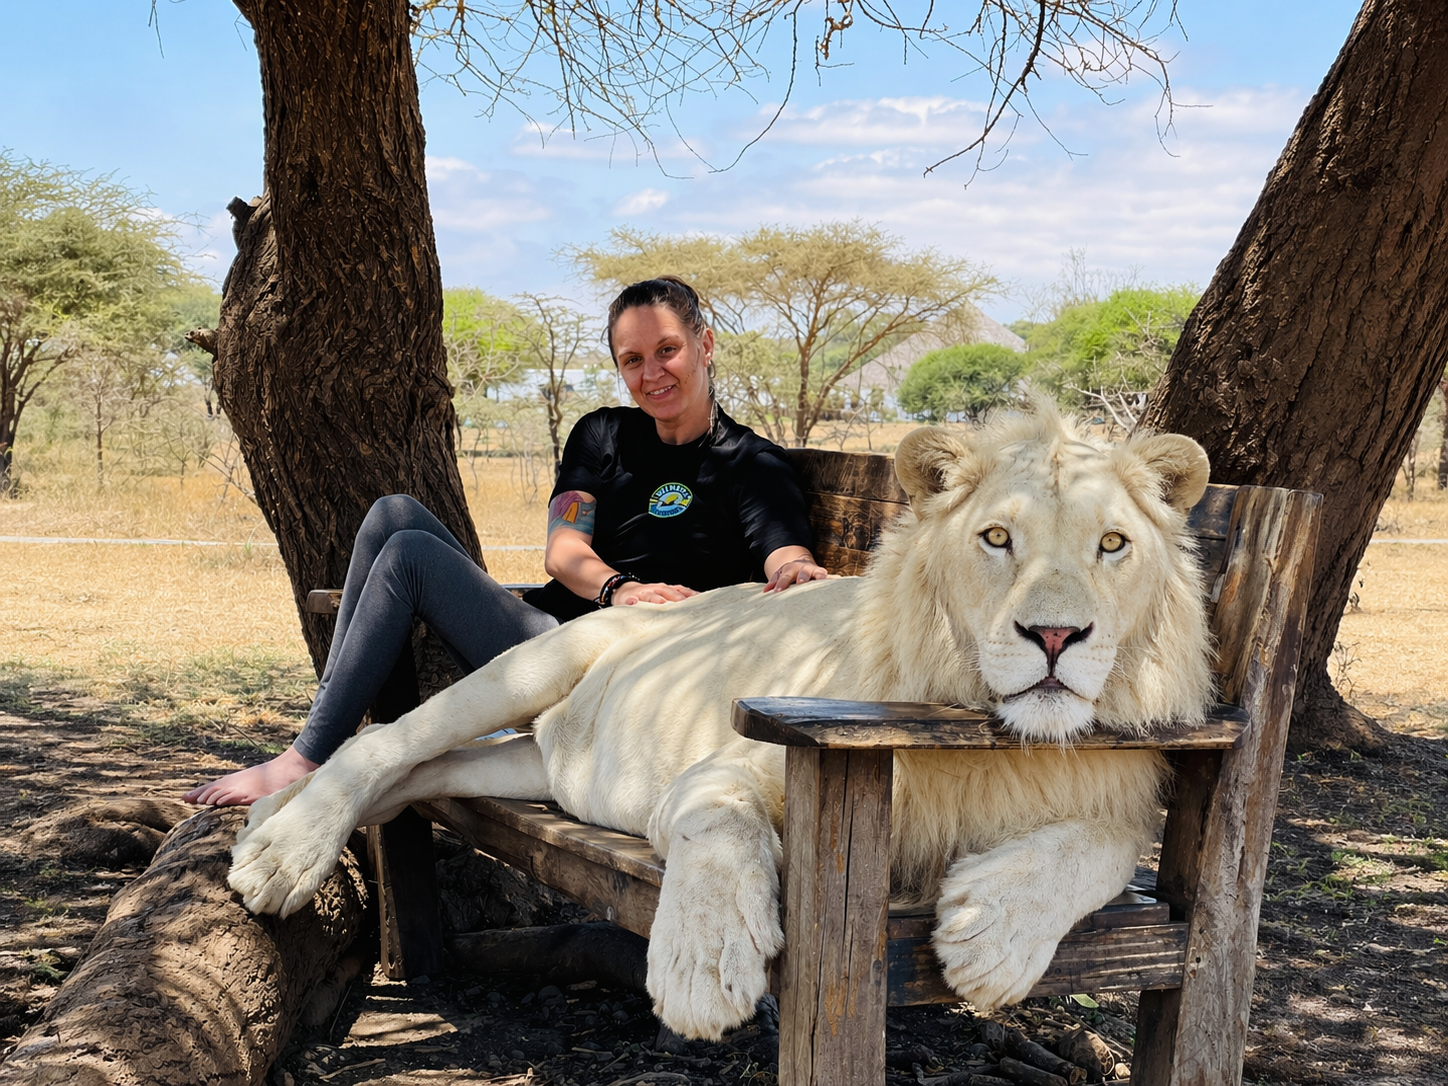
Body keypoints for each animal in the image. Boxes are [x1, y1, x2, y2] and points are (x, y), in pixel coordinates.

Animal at [229, 404, 1214, 1041]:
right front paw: (703, 970)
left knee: (414, 765)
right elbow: (720, 826)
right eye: (997, 539)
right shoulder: (723, 772)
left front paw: (991, 935)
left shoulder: (1110, 788)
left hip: (529, 770)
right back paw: (279, 845)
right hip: (536, 663)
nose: (1054, 635)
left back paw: (273, 818)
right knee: (386, 740)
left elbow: (1104, 847)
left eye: (1113, 544)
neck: (984, 735)